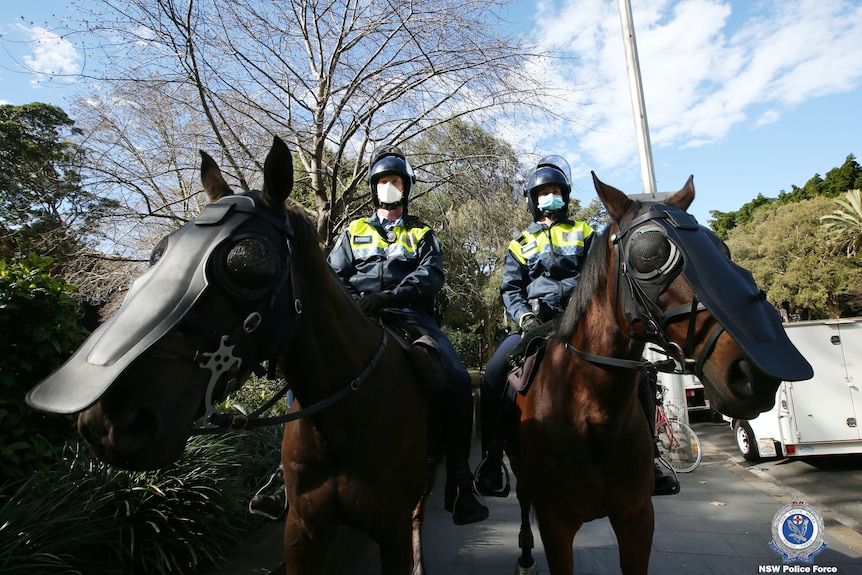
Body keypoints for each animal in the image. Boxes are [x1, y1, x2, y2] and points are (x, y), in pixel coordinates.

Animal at [28, 136, 438, 575]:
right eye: (159, 254)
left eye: (250, 264)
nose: (109, 421)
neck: (344, 421)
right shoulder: (303, 529)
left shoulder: (391, 530)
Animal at [512, 176, 816, 575]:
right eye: (650, 255)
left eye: (721, 248)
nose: (753, 374)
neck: (592, 414)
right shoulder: (555, 525)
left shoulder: (637, 516)